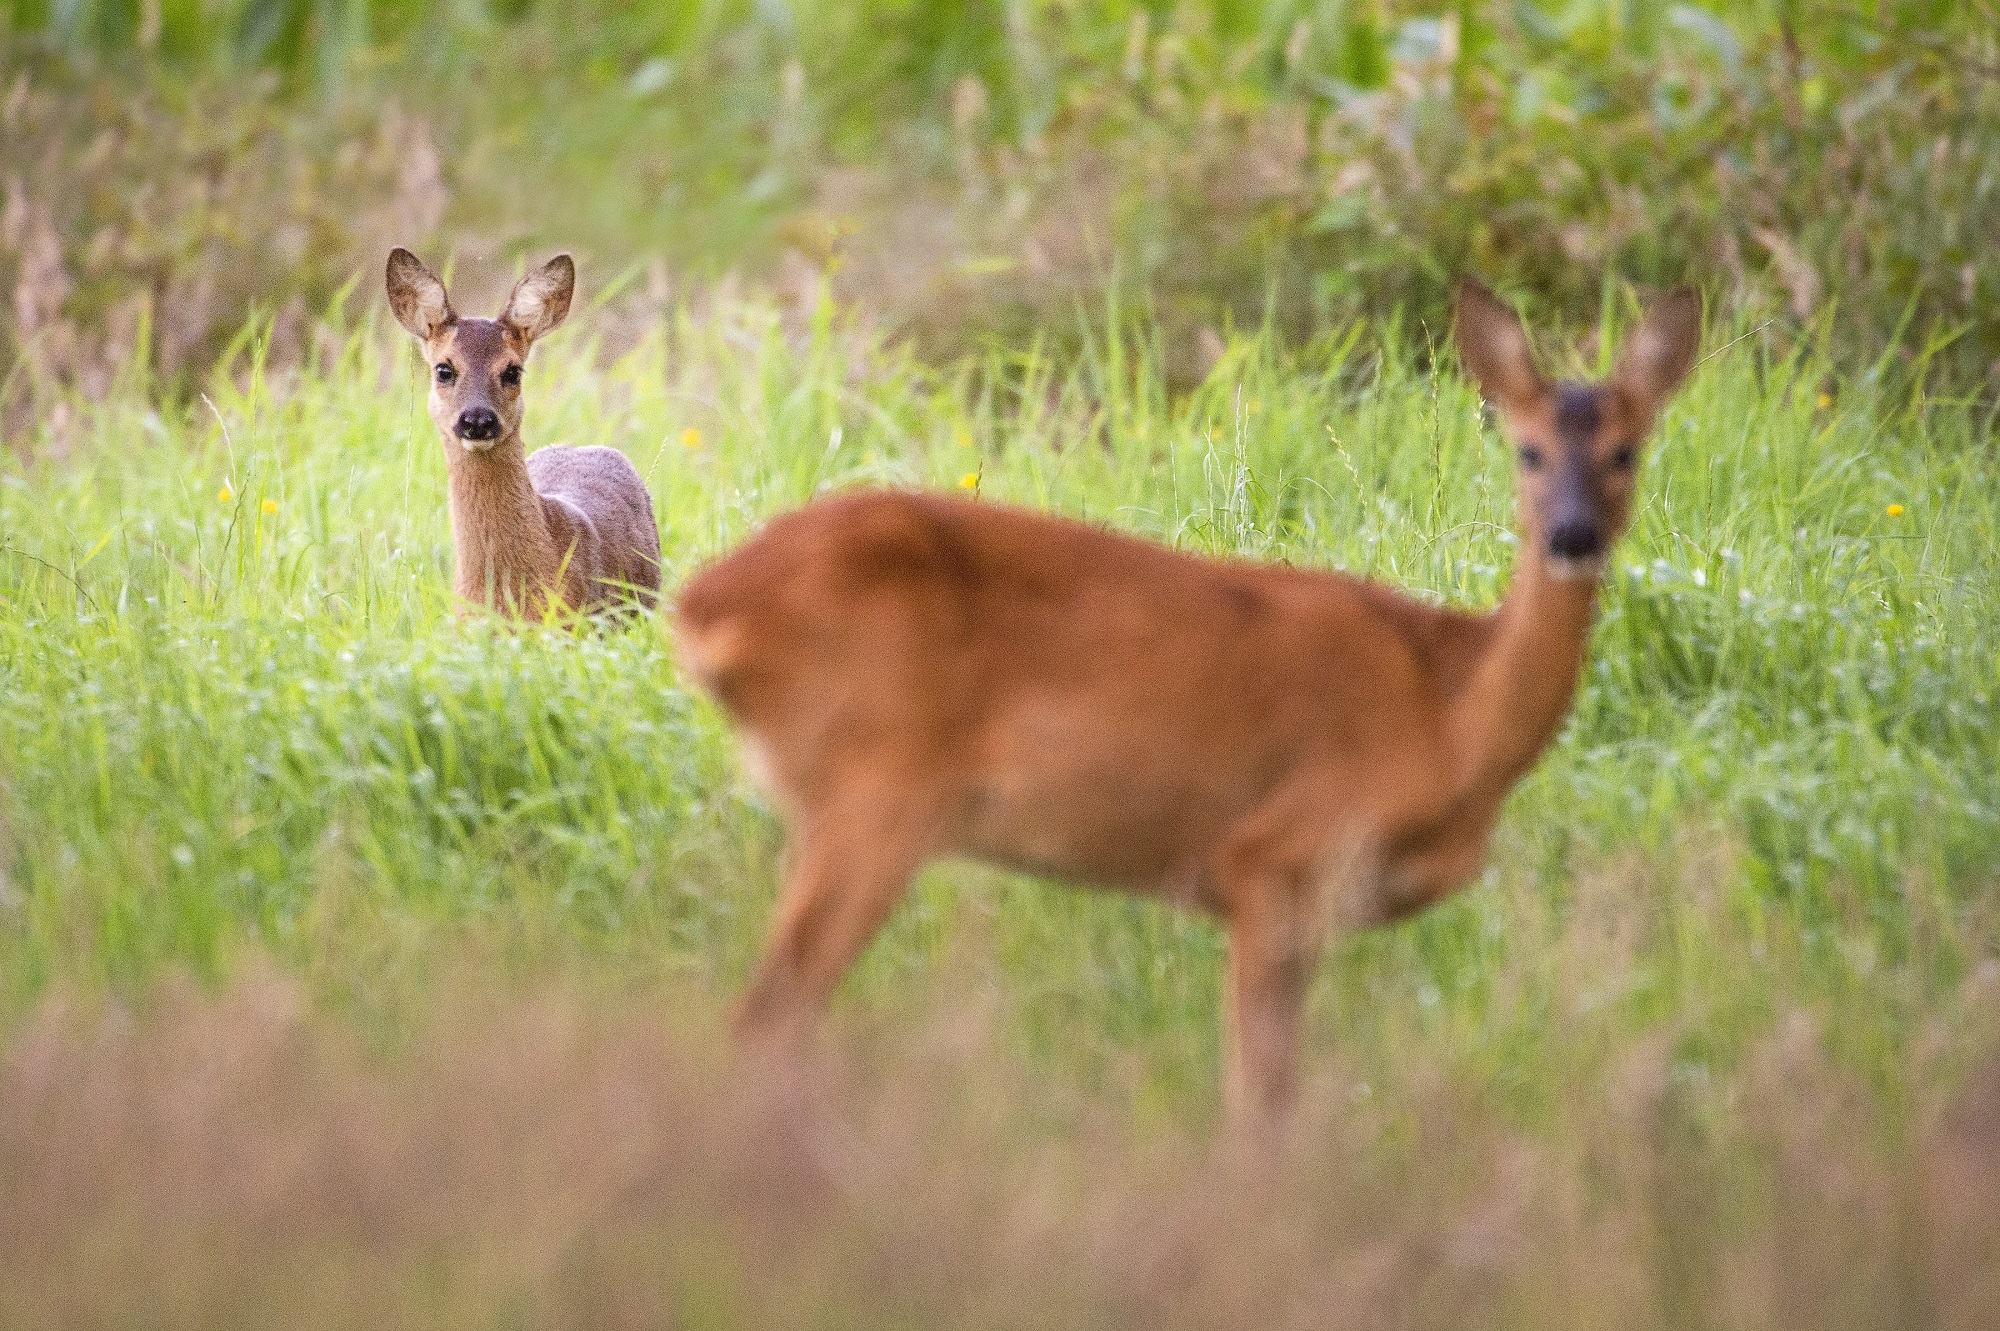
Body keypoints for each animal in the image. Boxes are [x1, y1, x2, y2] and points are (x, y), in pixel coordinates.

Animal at [680, 285, 1696, 1111]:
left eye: (1628, 451)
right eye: (1527, 450)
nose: (1571, 536)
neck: (1451, 712)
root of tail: (705, 605)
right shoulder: (1274, 857)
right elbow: (1261, 1099)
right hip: (875, 792)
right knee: (764, 1016)